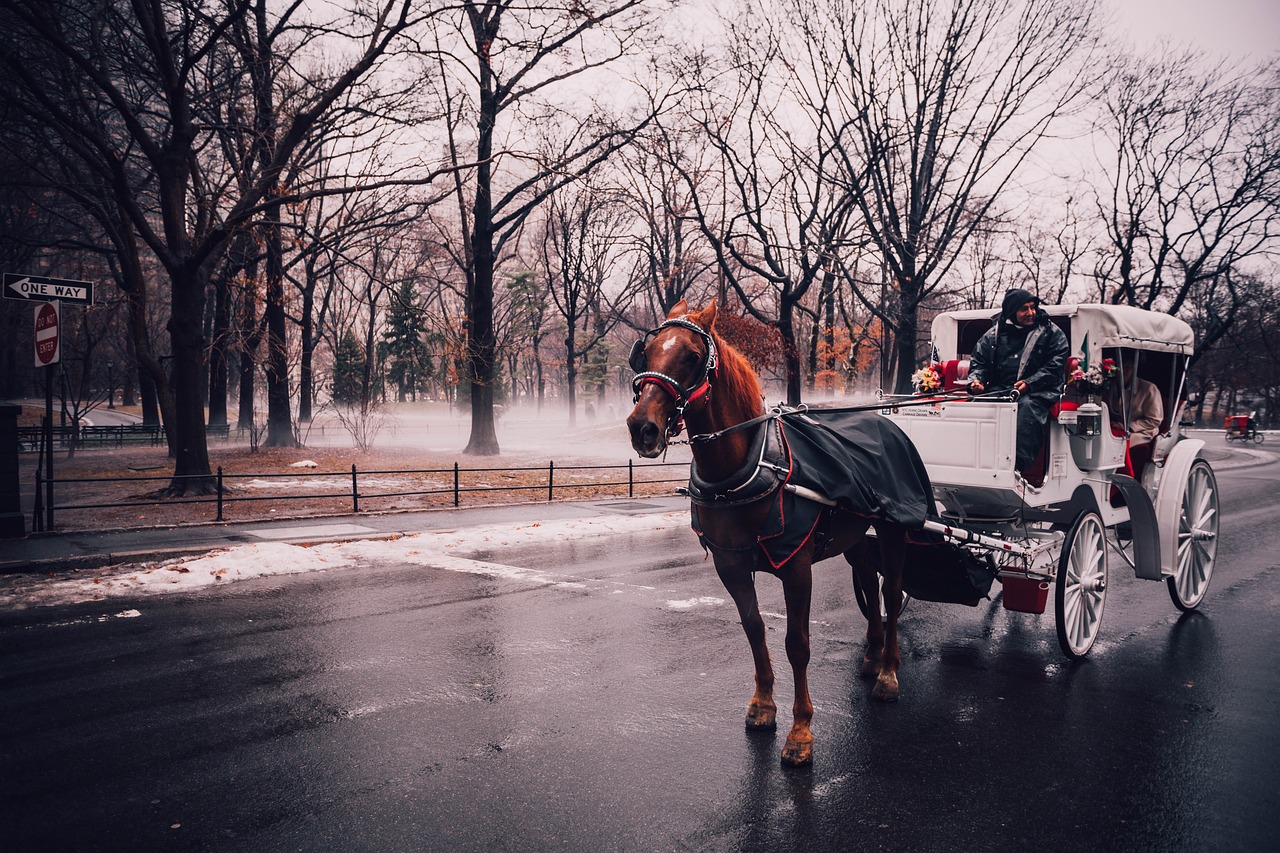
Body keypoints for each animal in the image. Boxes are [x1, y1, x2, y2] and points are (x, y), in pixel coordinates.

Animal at [627, 297, 911, 763]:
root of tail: (884, 422)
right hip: (853, 534)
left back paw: (887, 672)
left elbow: (798, 644)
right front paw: (762, 705)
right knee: (869, 582)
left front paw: (801, 731)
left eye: (692, 356)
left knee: (890, 592)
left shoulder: (796, 567)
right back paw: (871, 657)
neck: (743, 469)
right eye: (645, 353)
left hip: (892, 529)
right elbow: (754, 628)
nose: (642, 427)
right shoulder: (731, 565)